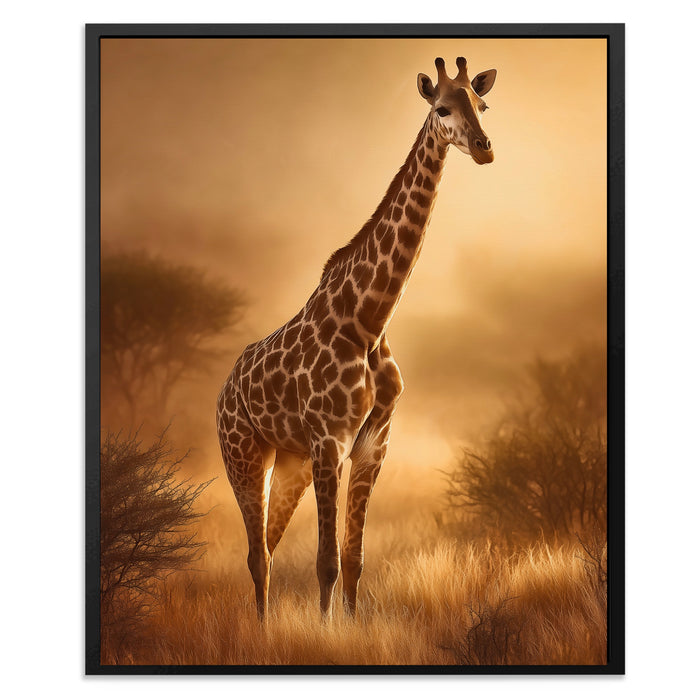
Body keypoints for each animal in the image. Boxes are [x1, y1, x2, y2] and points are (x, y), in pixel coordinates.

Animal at [217, 57, 497, 621]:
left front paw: (348, 625)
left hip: (291, 463)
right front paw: (325, 631)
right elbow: (326, 561)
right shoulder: (330, 441)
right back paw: (261, 631)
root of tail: (222, 393)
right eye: (442, 108)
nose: (483, 147)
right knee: (257, 556)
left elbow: (354, 559)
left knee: (269, 547)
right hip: (244, 455)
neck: (370, 320)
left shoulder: (372, 445)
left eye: (482, 104)